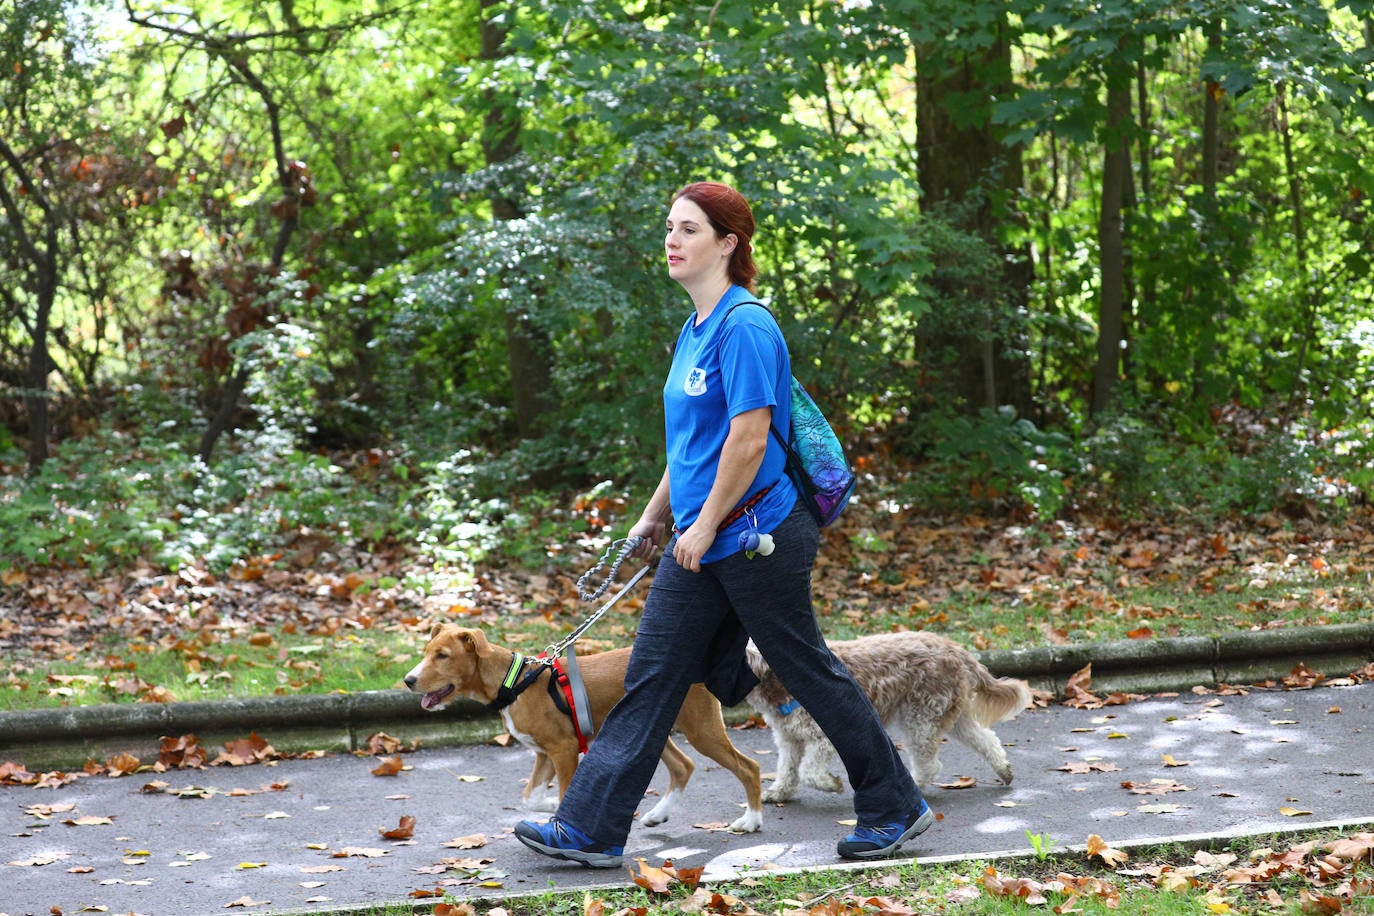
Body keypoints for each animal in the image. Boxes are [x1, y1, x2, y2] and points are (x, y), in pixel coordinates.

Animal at [401, 626, 769, 834]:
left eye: (443, 655)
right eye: (427, 653)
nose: (408, 680)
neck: (514, 681)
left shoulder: (563, 749)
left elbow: (562, 791)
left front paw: (561, 815)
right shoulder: (544, 753)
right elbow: (529, 796)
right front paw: (552, 805)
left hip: (701, 728)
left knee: (749, 767)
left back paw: (751, 821)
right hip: (652, 724)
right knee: (684, 766)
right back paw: (658, 814)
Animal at [747, 631, 1027, 802]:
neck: (775, 680)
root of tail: (955, 648)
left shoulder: (823, 736)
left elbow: (809, 771)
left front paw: (831, 784)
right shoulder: (788, 739)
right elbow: (787, 769)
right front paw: (778, 792)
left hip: (921, 719)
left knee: (929, 764)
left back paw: (914, 785)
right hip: (952, 716)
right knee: (986, 739)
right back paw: (1004, 770)